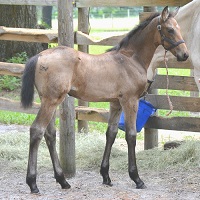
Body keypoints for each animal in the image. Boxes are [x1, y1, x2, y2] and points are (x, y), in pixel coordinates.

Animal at [21, 7, 188, 193]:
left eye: (178, 28)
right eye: (170, 29)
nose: (184, 54)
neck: (131, 59)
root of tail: (39, 56)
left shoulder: (115, 103)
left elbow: (111, 133)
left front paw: (106, 176)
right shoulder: (130, 101)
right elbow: (130, 135)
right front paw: (136, 178)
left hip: (49, 101)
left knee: (49, 134)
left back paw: (63, 180)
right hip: (51, 101)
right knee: (37, 130)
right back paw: (33, 183)